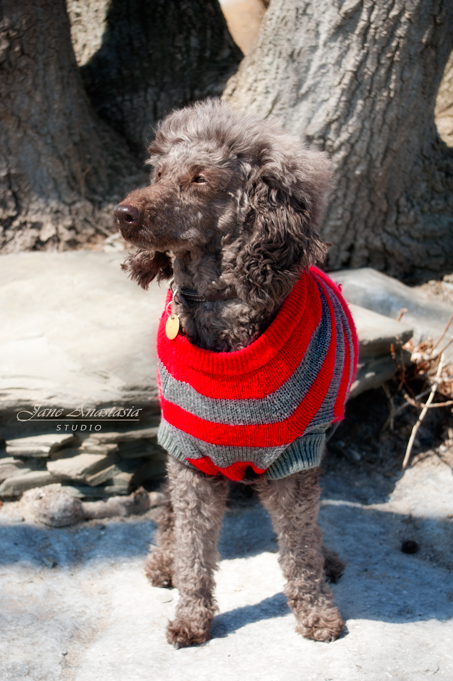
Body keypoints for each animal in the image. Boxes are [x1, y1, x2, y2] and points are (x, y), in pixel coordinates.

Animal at [114, 101, 356, 648]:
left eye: (200, 178)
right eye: (157, 173)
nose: (124, 214)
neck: (222, 308)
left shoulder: (296, 458)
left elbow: (299, 547)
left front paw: (316, 611)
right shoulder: (190, 455)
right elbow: (195, 546)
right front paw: (191, 614)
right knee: (170, 516)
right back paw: (163, 560)